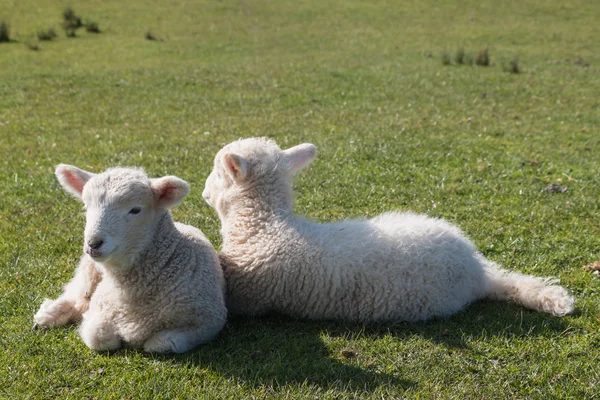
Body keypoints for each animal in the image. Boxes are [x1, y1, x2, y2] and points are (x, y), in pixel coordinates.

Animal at [34, 166, 227, 354]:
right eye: (86, 206)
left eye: (135, 210)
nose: (93, 243)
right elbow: (97, 336)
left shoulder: (209, 322)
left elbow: (162, 343)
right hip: (89, 271)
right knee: (76, 294)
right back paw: (49, 314)